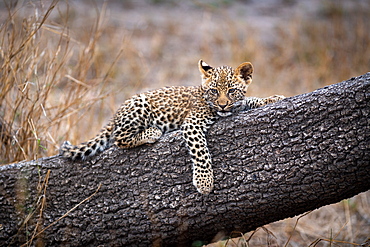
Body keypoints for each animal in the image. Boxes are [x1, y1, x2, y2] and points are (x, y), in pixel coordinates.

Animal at [60, 60, 286, 195]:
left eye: (231, 91)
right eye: (214, 91)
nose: (222, 105)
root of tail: (116, 115)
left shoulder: (236, 106)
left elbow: (250, 100)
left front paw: (273, 98)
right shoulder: (192, 124)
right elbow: (201, 153)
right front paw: (204, 182)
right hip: (140, 105)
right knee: (119, 138)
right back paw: (152, 132)